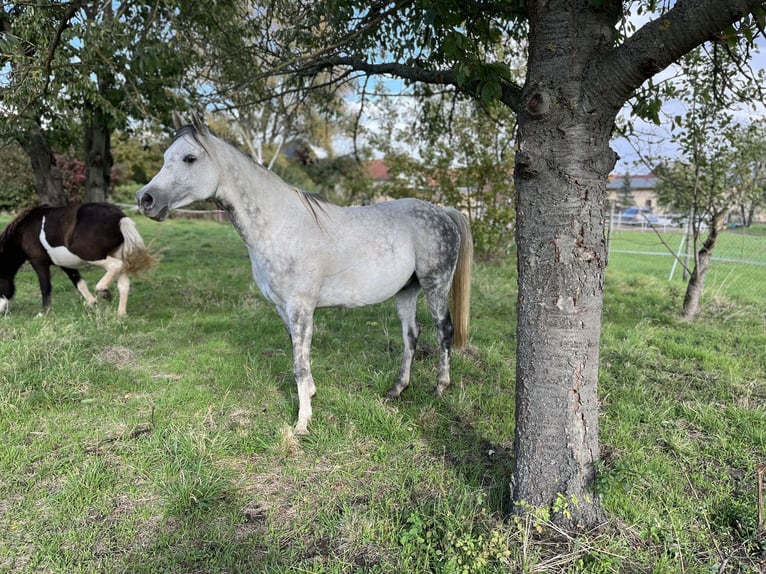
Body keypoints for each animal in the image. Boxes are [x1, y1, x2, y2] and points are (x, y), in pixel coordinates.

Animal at [0, 204, 158, 320]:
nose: (1, 313)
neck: (24, 231)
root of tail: (120, 218)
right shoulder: (65, 264)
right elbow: (79, 284)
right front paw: (92, 303)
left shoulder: (38, 262)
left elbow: (45, 287)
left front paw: (43, 313)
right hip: (117, 254)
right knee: (124, 283)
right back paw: (120, 314)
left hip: (89, 254)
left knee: (115, 266)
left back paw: (103, 291)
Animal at [138, 113, 474, 436]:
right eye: (166, 156)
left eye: (190, 158)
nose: (145, 199)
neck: (281, 224)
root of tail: (442, 211)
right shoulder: (283, 307)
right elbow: (300, 355)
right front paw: (310, 395)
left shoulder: (300, 307)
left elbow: (298, 363)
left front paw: (302, 423)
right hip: (407, 290)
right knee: (411, 334)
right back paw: (397, 389)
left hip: (435, 285)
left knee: (444, 330)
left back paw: (440, 387)